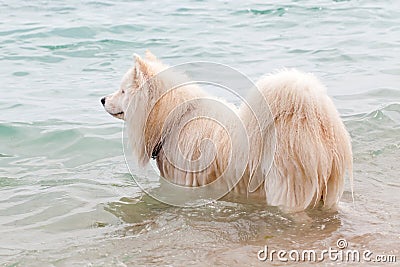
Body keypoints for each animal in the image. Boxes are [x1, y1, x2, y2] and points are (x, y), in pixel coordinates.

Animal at [101, 51, 352, 213]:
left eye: (122, 91)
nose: (102, 99)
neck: (173, 118)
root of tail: (310, 119)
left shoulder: (182, 184)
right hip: (327, 192)